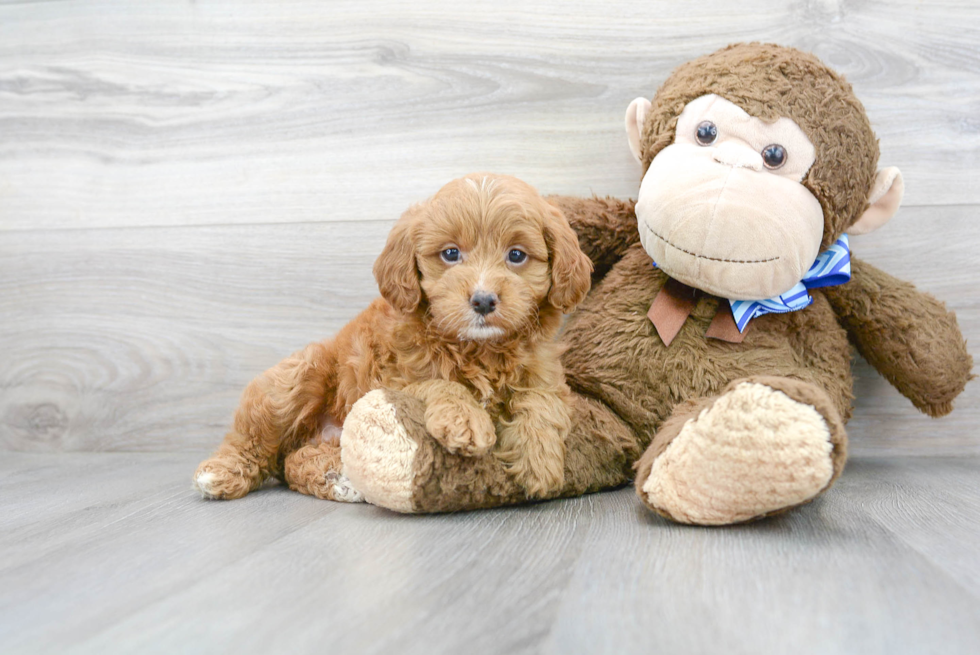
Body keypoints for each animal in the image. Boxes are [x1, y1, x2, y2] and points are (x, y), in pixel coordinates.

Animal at [191, 172, 588, 500]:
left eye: (517, 255)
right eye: (451, 253)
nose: (483, 300)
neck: (479, 347)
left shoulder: (542, 370)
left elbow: (541, 402)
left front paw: (539, 462)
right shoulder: (395, 377)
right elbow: (441, 384)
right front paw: (465, 423)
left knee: (296, 460)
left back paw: (337, 479)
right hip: (298, 376)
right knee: (253, 439)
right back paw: (220, 473)